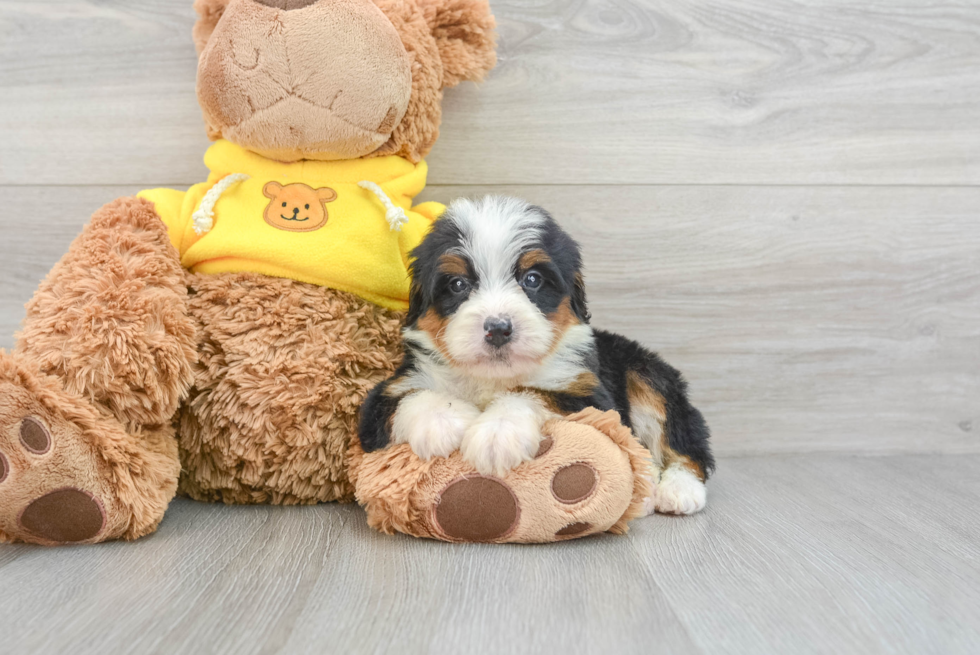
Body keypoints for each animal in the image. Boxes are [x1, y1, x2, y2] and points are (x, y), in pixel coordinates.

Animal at [358, 197, 712, 516]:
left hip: (649, 376)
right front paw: (441, 422)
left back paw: (677, 490)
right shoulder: (385, 396)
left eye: (532, 279)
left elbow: (532, 393)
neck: (493, 378)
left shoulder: (589, 395)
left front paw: (498, 432)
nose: (498, 328)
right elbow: (410, 397)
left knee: (686, 444)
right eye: (457, 284)